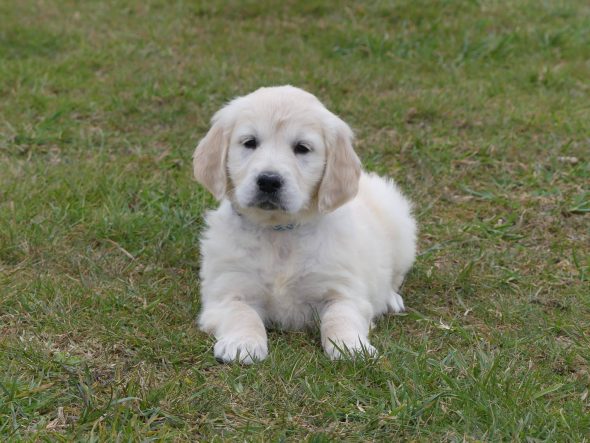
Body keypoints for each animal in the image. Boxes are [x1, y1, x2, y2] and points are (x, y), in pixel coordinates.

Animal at [193, 86, 416, 364]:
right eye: (250, 142)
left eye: (302, 148)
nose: (268, 181)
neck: (279, 231)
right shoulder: (227, 291)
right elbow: (242, 314)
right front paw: (241, 344)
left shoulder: (342, 290)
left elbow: (340, 317)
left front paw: (352, 346)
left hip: (402, 228)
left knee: (395, 275)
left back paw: (390, 299)